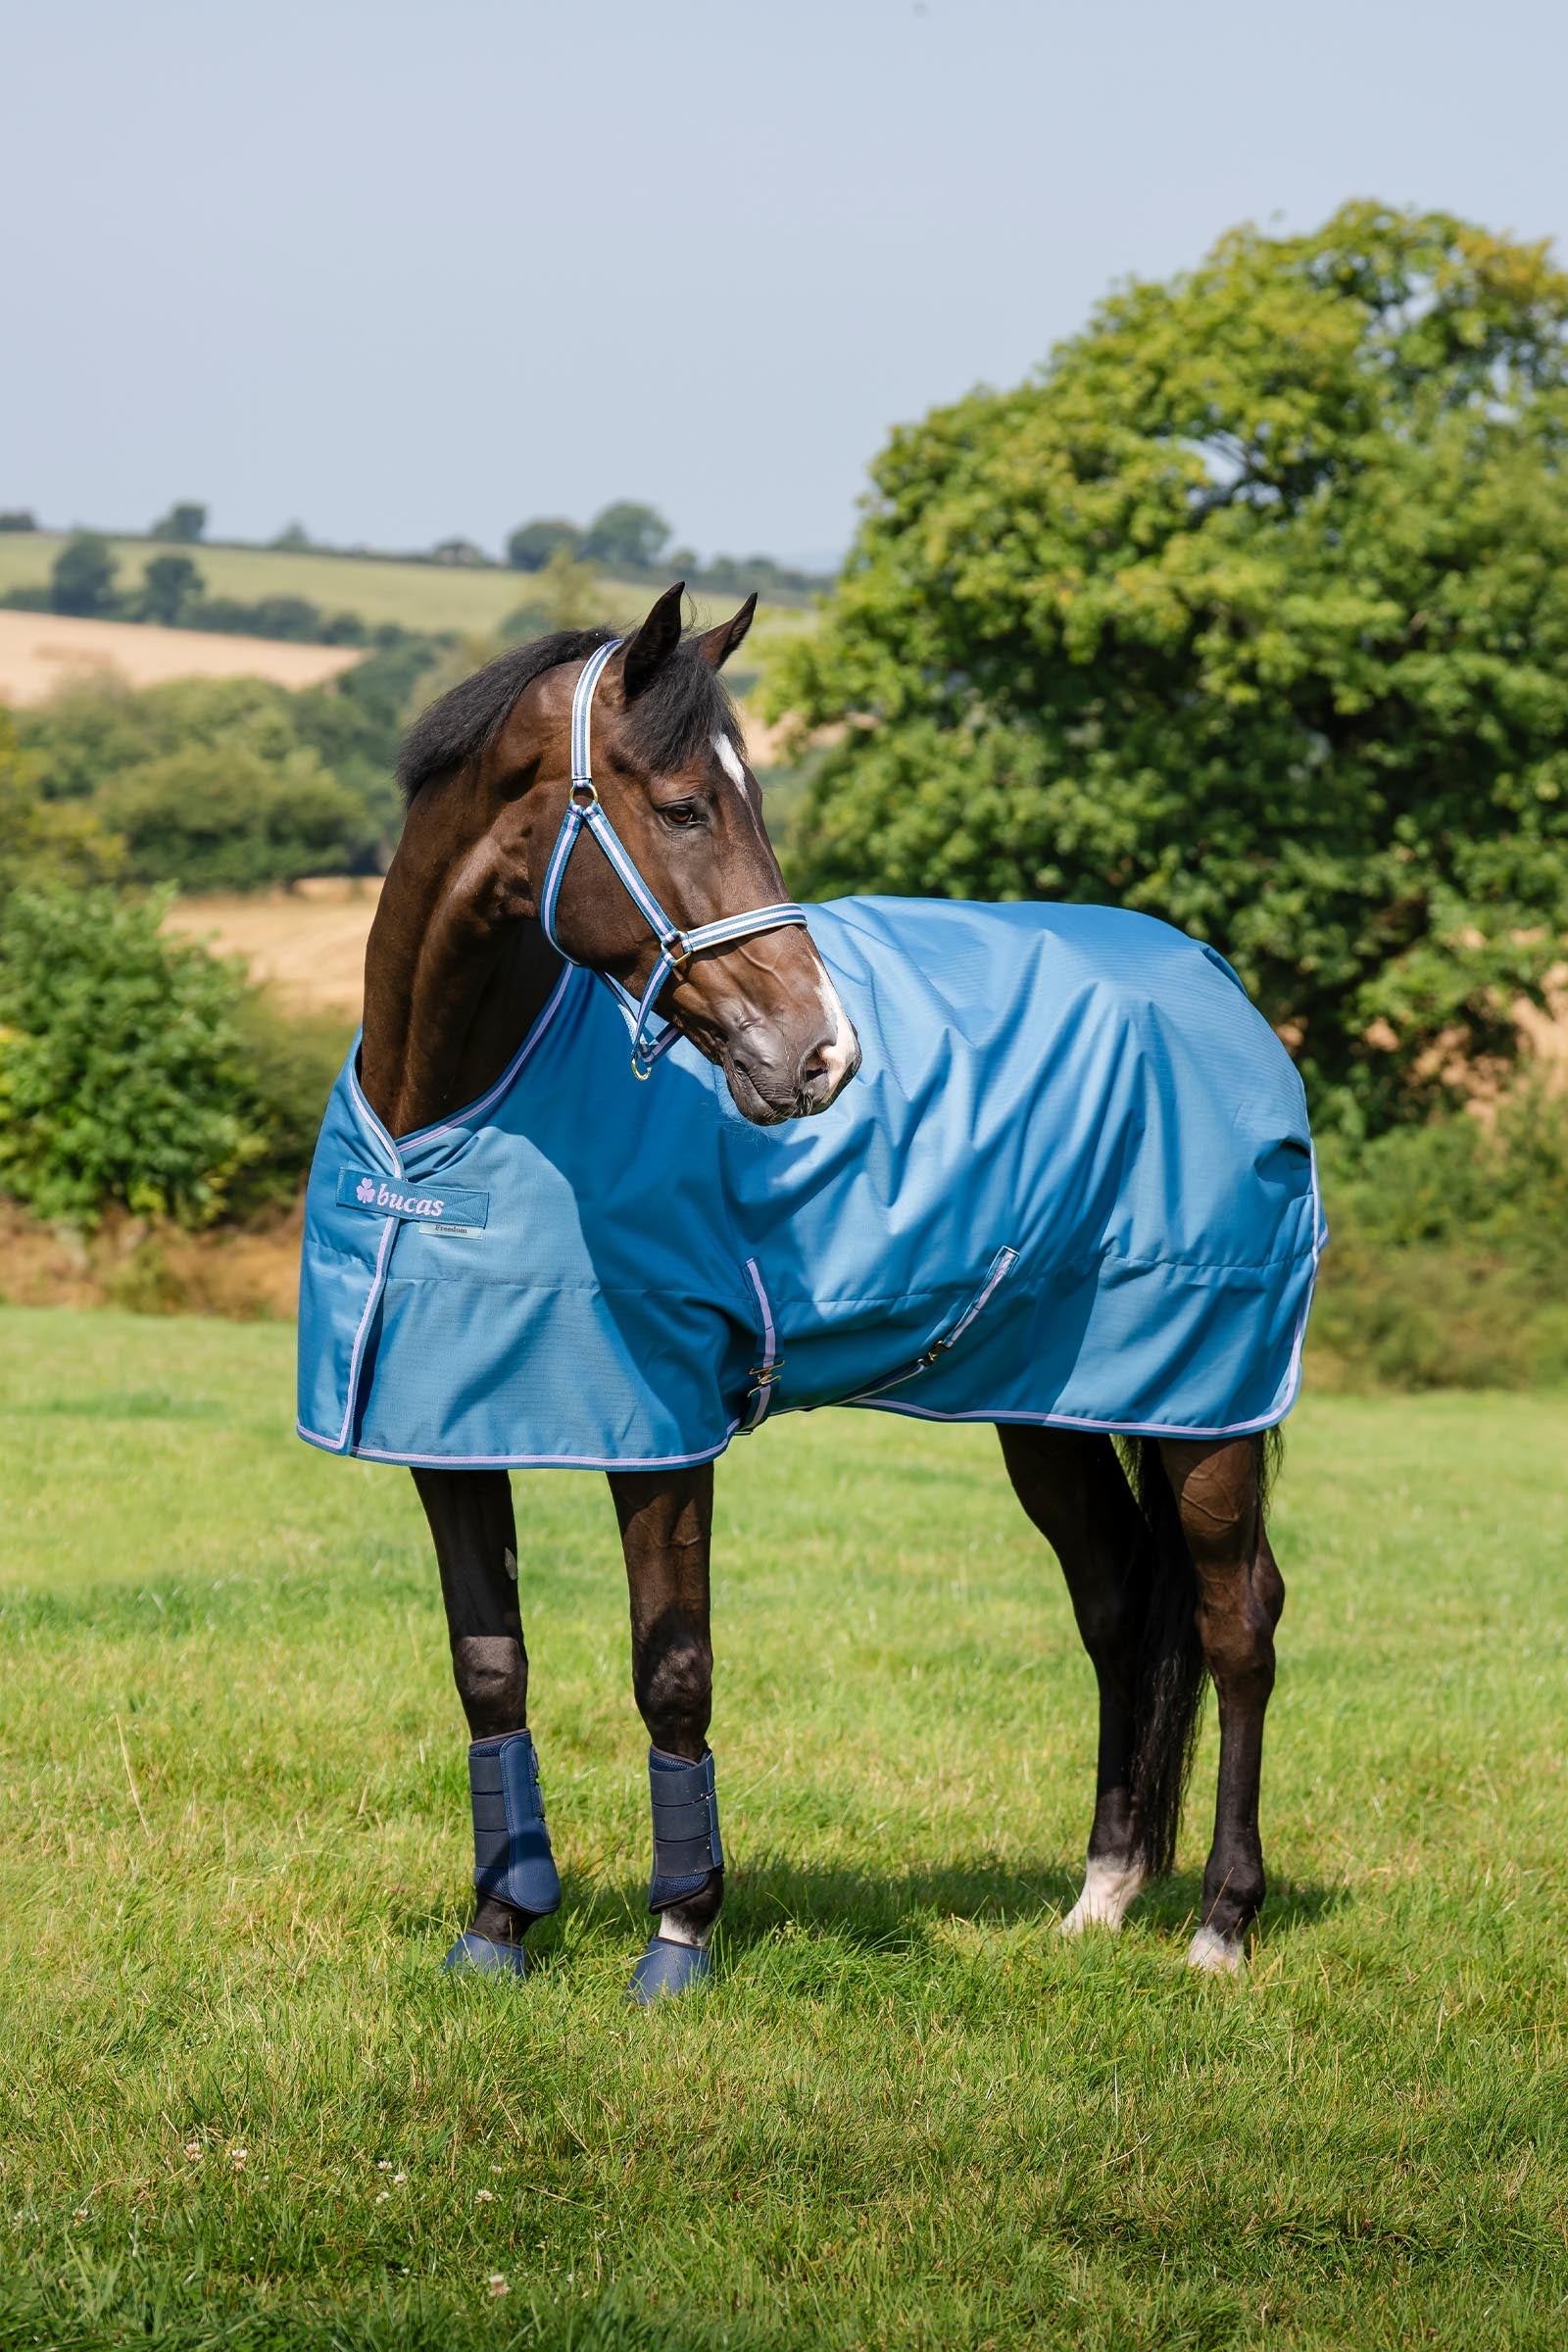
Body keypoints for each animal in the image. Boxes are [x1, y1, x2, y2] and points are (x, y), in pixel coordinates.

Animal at [297, 583, 1316, 2000]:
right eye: (683, 808)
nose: (823, 1053)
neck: (442, 1121)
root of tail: (1217, 986)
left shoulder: (664, 1438)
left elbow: (673, 1670)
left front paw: (679, 1939)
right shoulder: (444, 1432)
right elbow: (488, 1670)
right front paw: (499, 1928)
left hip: (1207, 1405)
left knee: (1237, 1622)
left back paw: (1222, 1921)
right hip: (1054, 1411)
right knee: (1118, 1608)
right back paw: (1103, 1893)